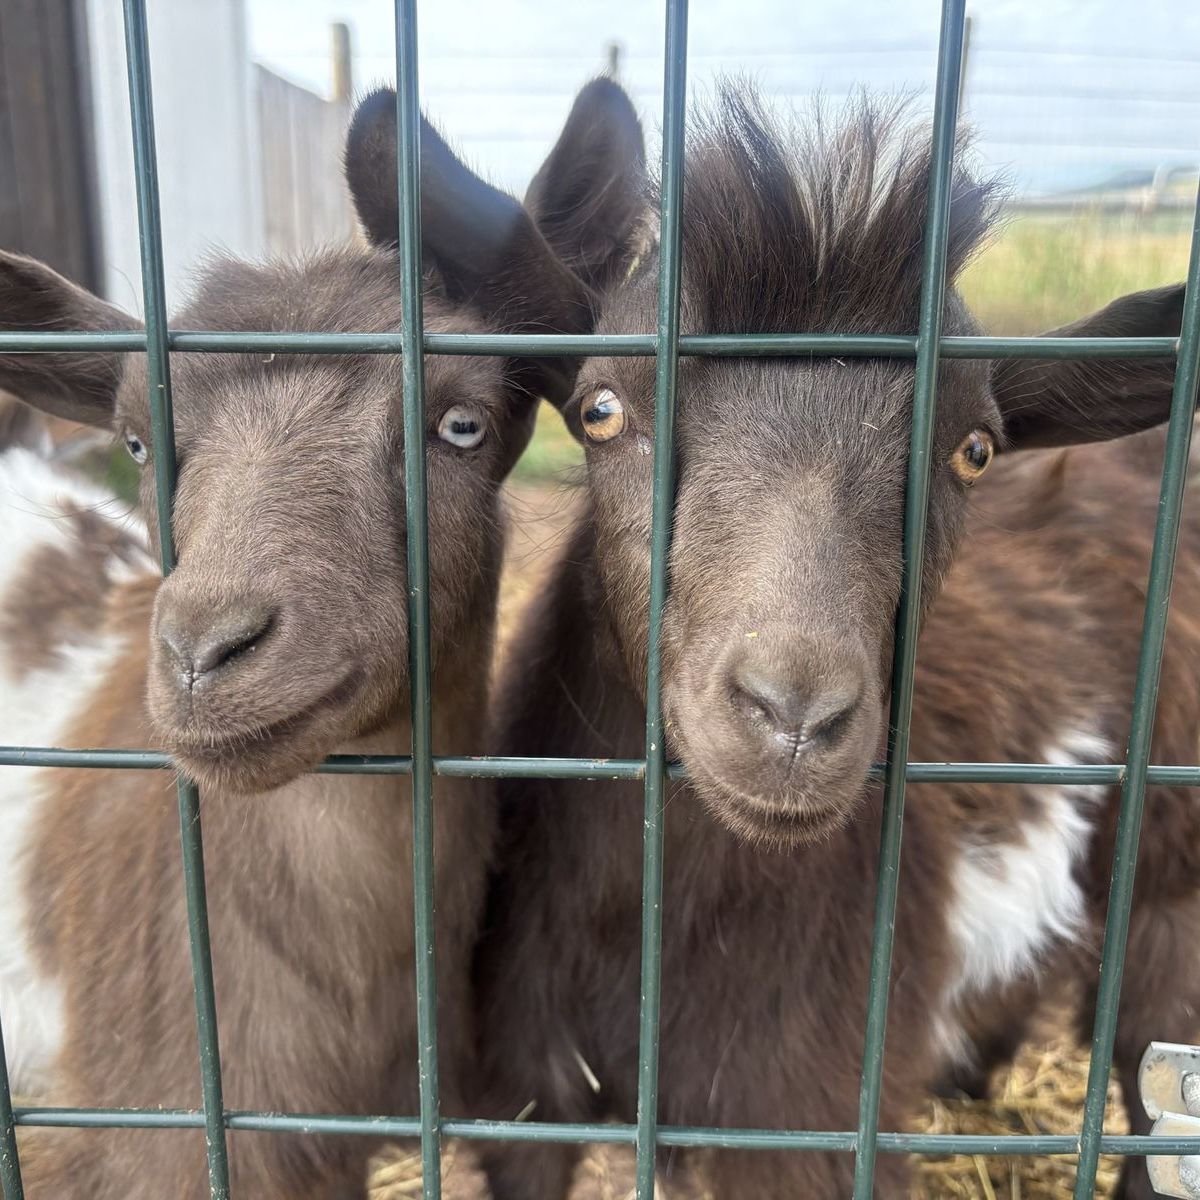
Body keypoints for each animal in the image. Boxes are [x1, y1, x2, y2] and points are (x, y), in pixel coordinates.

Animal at [475, 86, 1196, 1200]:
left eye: (975, 449)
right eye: (600, 409)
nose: (793, 716)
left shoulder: (804, 1121)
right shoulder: (523, 1098)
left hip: (1172, 896)